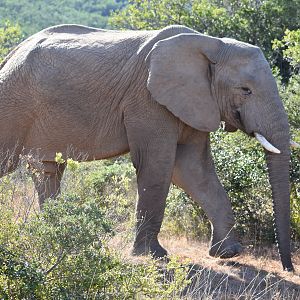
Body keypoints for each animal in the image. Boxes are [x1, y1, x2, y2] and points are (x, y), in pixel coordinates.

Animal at [0, 24, 296, 270]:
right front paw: (153, 256)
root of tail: (11, 55)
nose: (288, 268)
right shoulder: (148, 101)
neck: (211, 44)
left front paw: (227, 254)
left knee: (47, 170)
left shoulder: (194, 103)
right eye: (245, 90)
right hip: (14, 102)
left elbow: (193, 170)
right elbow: (158, 165)